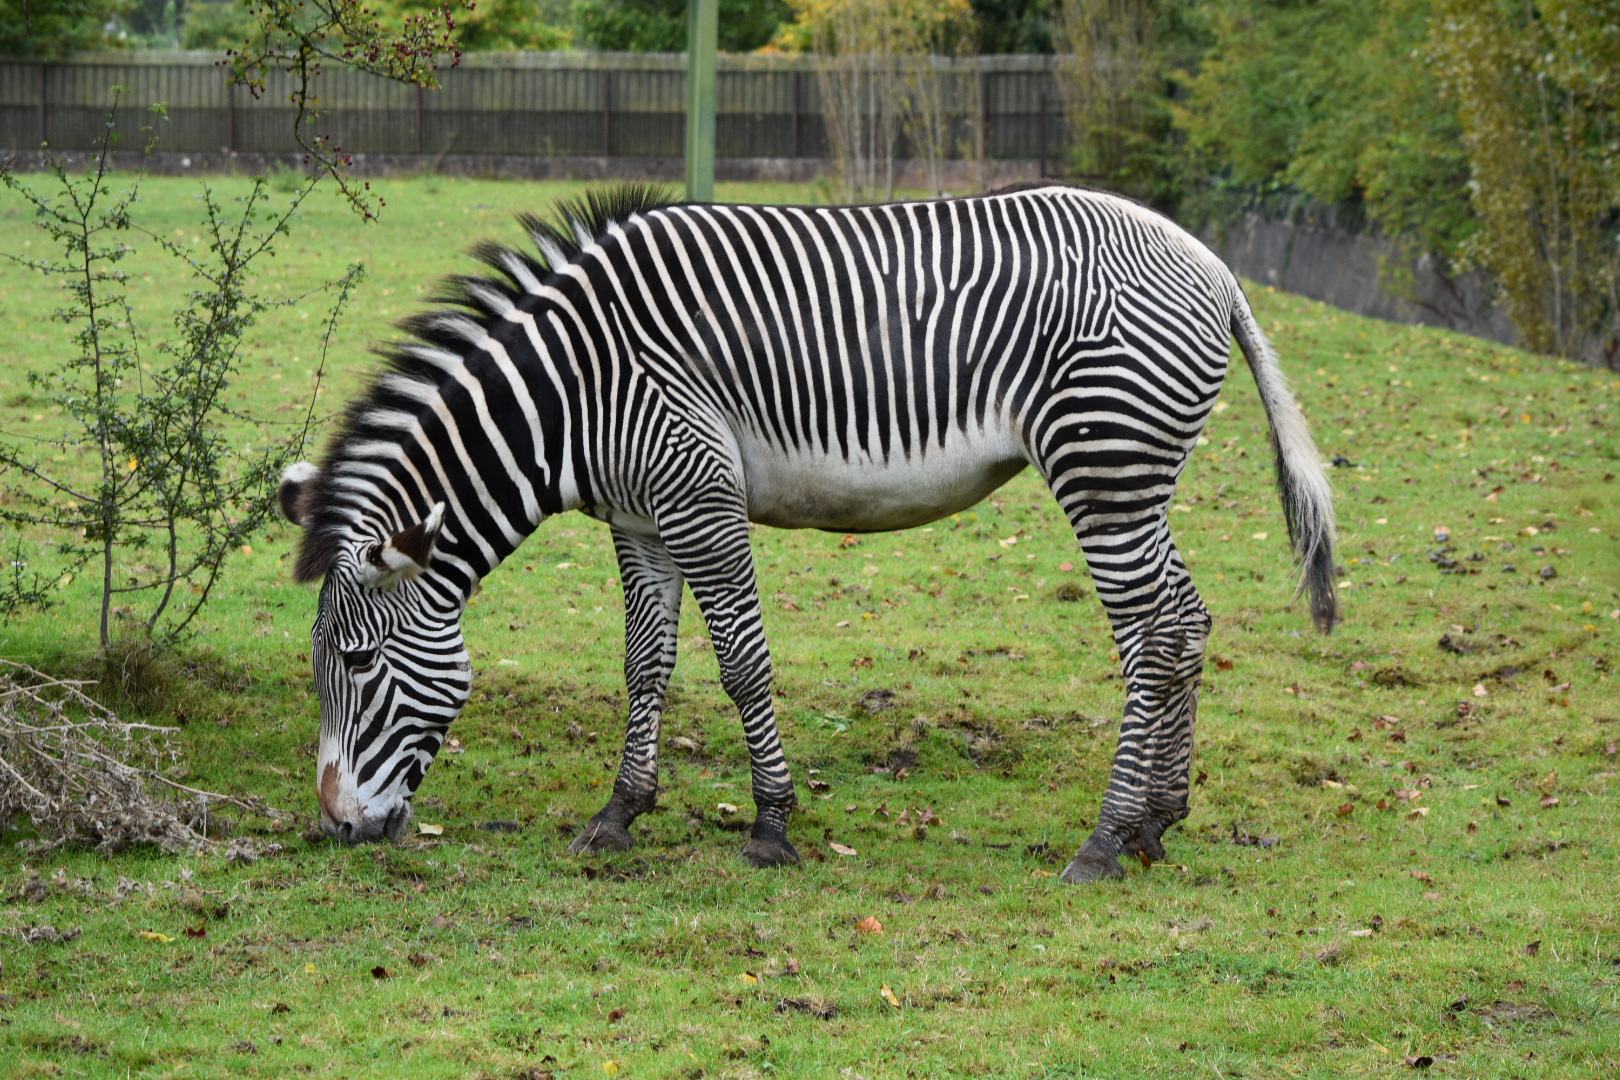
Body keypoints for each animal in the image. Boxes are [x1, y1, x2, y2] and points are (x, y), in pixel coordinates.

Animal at [278, 181, 1335, 883]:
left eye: (359, 664)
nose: (337, 828)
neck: (572, 390)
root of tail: (1213, 265)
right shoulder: (641, 519)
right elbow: (645, 664)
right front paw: (620, 813)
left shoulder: (699, 498)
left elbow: (743, 664)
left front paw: (772, 824)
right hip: (1138, 478)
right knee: (1188, 622)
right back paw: (1161, 821)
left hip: (1105, 467)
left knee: (1151, 637)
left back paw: (1107, 841)